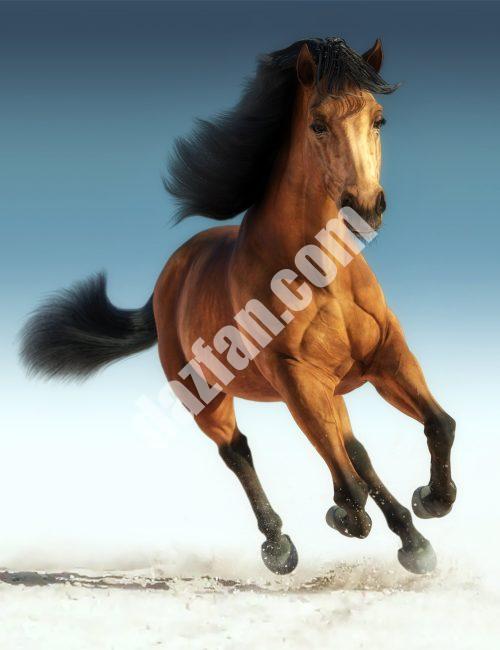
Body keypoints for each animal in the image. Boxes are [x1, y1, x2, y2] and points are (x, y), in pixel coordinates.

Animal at [21, 37, 456, 576]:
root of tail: (168, 279)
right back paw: (279, 548)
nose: (365, 206)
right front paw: (345, 518)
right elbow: (350, 492)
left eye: (379, 119)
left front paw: (430, 501)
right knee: (239, 452)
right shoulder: (295, 378)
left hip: (331, 389)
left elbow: (438, 425)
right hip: (209, 398)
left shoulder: (387, 356)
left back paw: (412, 541)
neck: (320, 276)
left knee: (354, 450)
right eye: (317, 123)